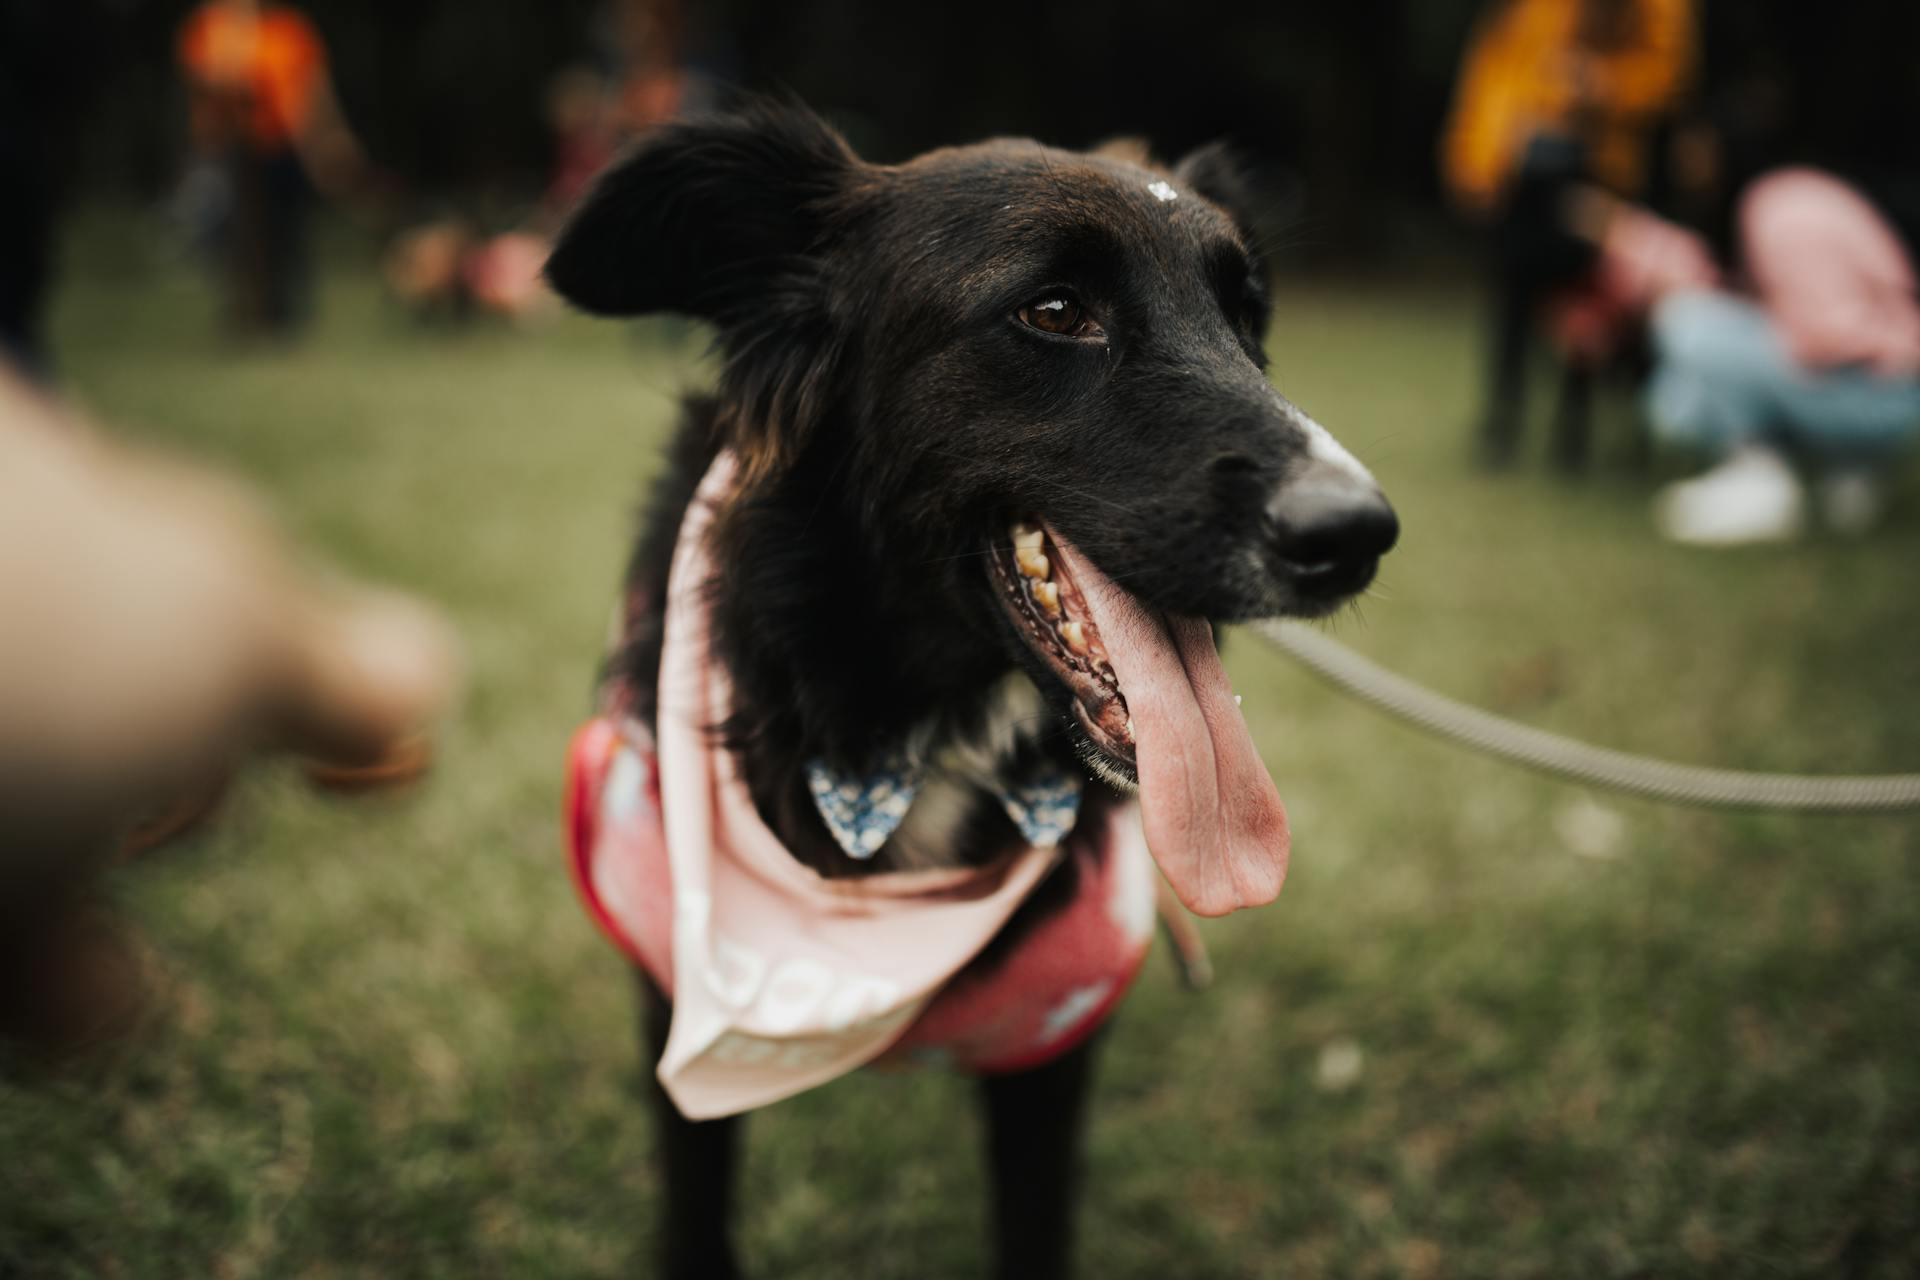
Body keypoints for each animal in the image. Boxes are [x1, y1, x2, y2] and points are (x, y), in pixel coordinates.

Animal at [545, 102, 1397, 1280]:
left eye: (1247, 318)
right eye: (1055, 310)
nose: (1357, 533)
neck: (912, 739)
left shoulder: (1049, 1051)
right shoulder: (681, 1017)